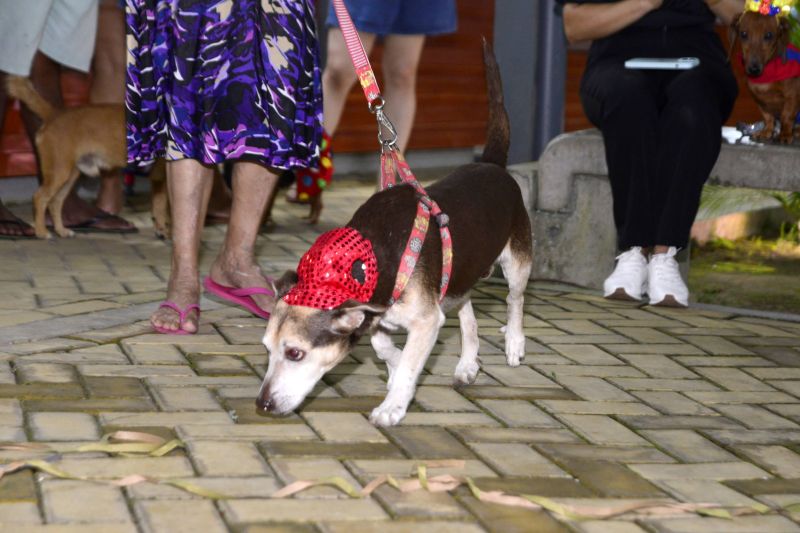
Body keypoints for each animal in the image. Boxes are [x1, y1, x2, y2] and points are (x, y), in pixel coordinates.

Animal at [5, 76, 170, 238]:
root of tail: (53, 114)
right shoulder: (162, 177)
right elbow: (166, 211)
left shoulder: (159, 179)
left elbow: (160, 207)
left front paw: (161, 230)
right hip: (59, 173)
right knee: (39, 198)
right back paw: (41, 232)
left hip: (69, 176)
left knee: (55, 202)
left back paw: (61, 230)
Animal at [256, 41, 532, 426]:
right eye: (266, 348)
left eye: (295, 353)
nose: (262, 404)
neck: (367, 260)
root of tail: (491, 163)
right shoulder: (388, 317)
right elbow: (382, 345)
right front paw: (398, 365)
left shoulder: (427, 319)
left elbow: (405, 363)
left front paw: (392, 405)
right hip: (457, 274)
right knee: (467, 312)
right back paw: (467, 362)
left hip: (518, 262)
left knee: (515, 300)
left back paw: (514, 342)